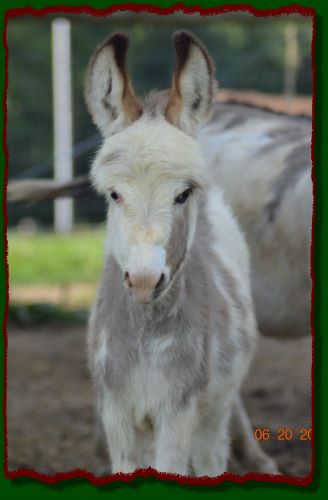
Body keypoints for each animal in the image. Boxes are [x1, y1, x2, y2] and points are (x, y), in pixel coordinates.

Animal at [86, 30, 262, 476]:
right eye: (114, 195)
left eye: (183, 194)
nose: (144, 281)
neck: (145, 333)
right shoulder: (116, 412)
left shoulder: (178, 411)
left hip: (212, 410)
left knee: (212, 454)